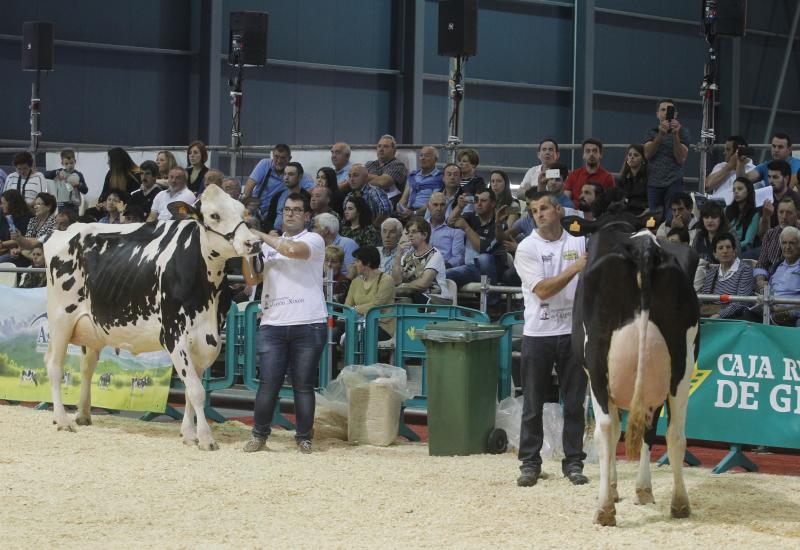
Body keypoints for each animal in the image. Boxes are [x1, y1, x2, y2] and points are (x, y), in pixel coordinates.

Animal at [43, 183, 260, 450]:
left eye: (242, 211)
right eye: (214, 215)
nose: (253, 243)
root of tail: (64, 231)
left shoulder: (208, 339)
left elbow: (191, 389)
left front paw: (189, 434)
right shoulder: (174, 335)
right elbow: (196, 391)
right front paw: (206, 438)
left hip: (92, 327)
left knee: (86, 367)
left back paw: (83, 414)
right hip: (61, 319)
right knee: (54, 366)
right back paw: (62, 419)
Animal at [572, 215, 696, 528]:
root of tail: (644, 248)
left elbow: (617, 430)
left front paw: (615, 490)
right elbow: (648, 432)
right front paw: (643, 490)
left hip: (597, 362)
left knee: (605, 428)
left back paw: (604, 510)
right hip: (681, 366)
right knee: (675, 432)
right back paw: (680, 504)